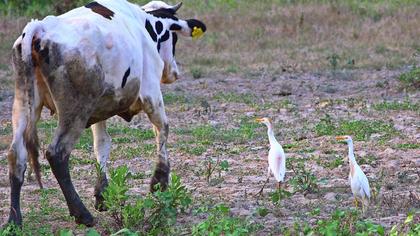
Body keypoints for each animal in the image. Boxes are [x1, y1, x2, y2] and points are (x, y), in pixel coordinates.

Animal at [4, 0, 205, 226]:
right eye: (174, 38)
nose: (174, 72)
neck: (143, 22)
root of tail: (40, 27)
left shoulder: (98, 112)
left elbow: (101, 145)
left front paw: (102, 195)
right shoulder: (151, 92)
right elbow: (162, 129)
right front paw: (159, 183)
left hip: (24, 104)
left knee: (16, 155)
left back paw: (14, 220)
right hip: (75, 110)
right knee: (57, 153)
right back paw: (82, 214)